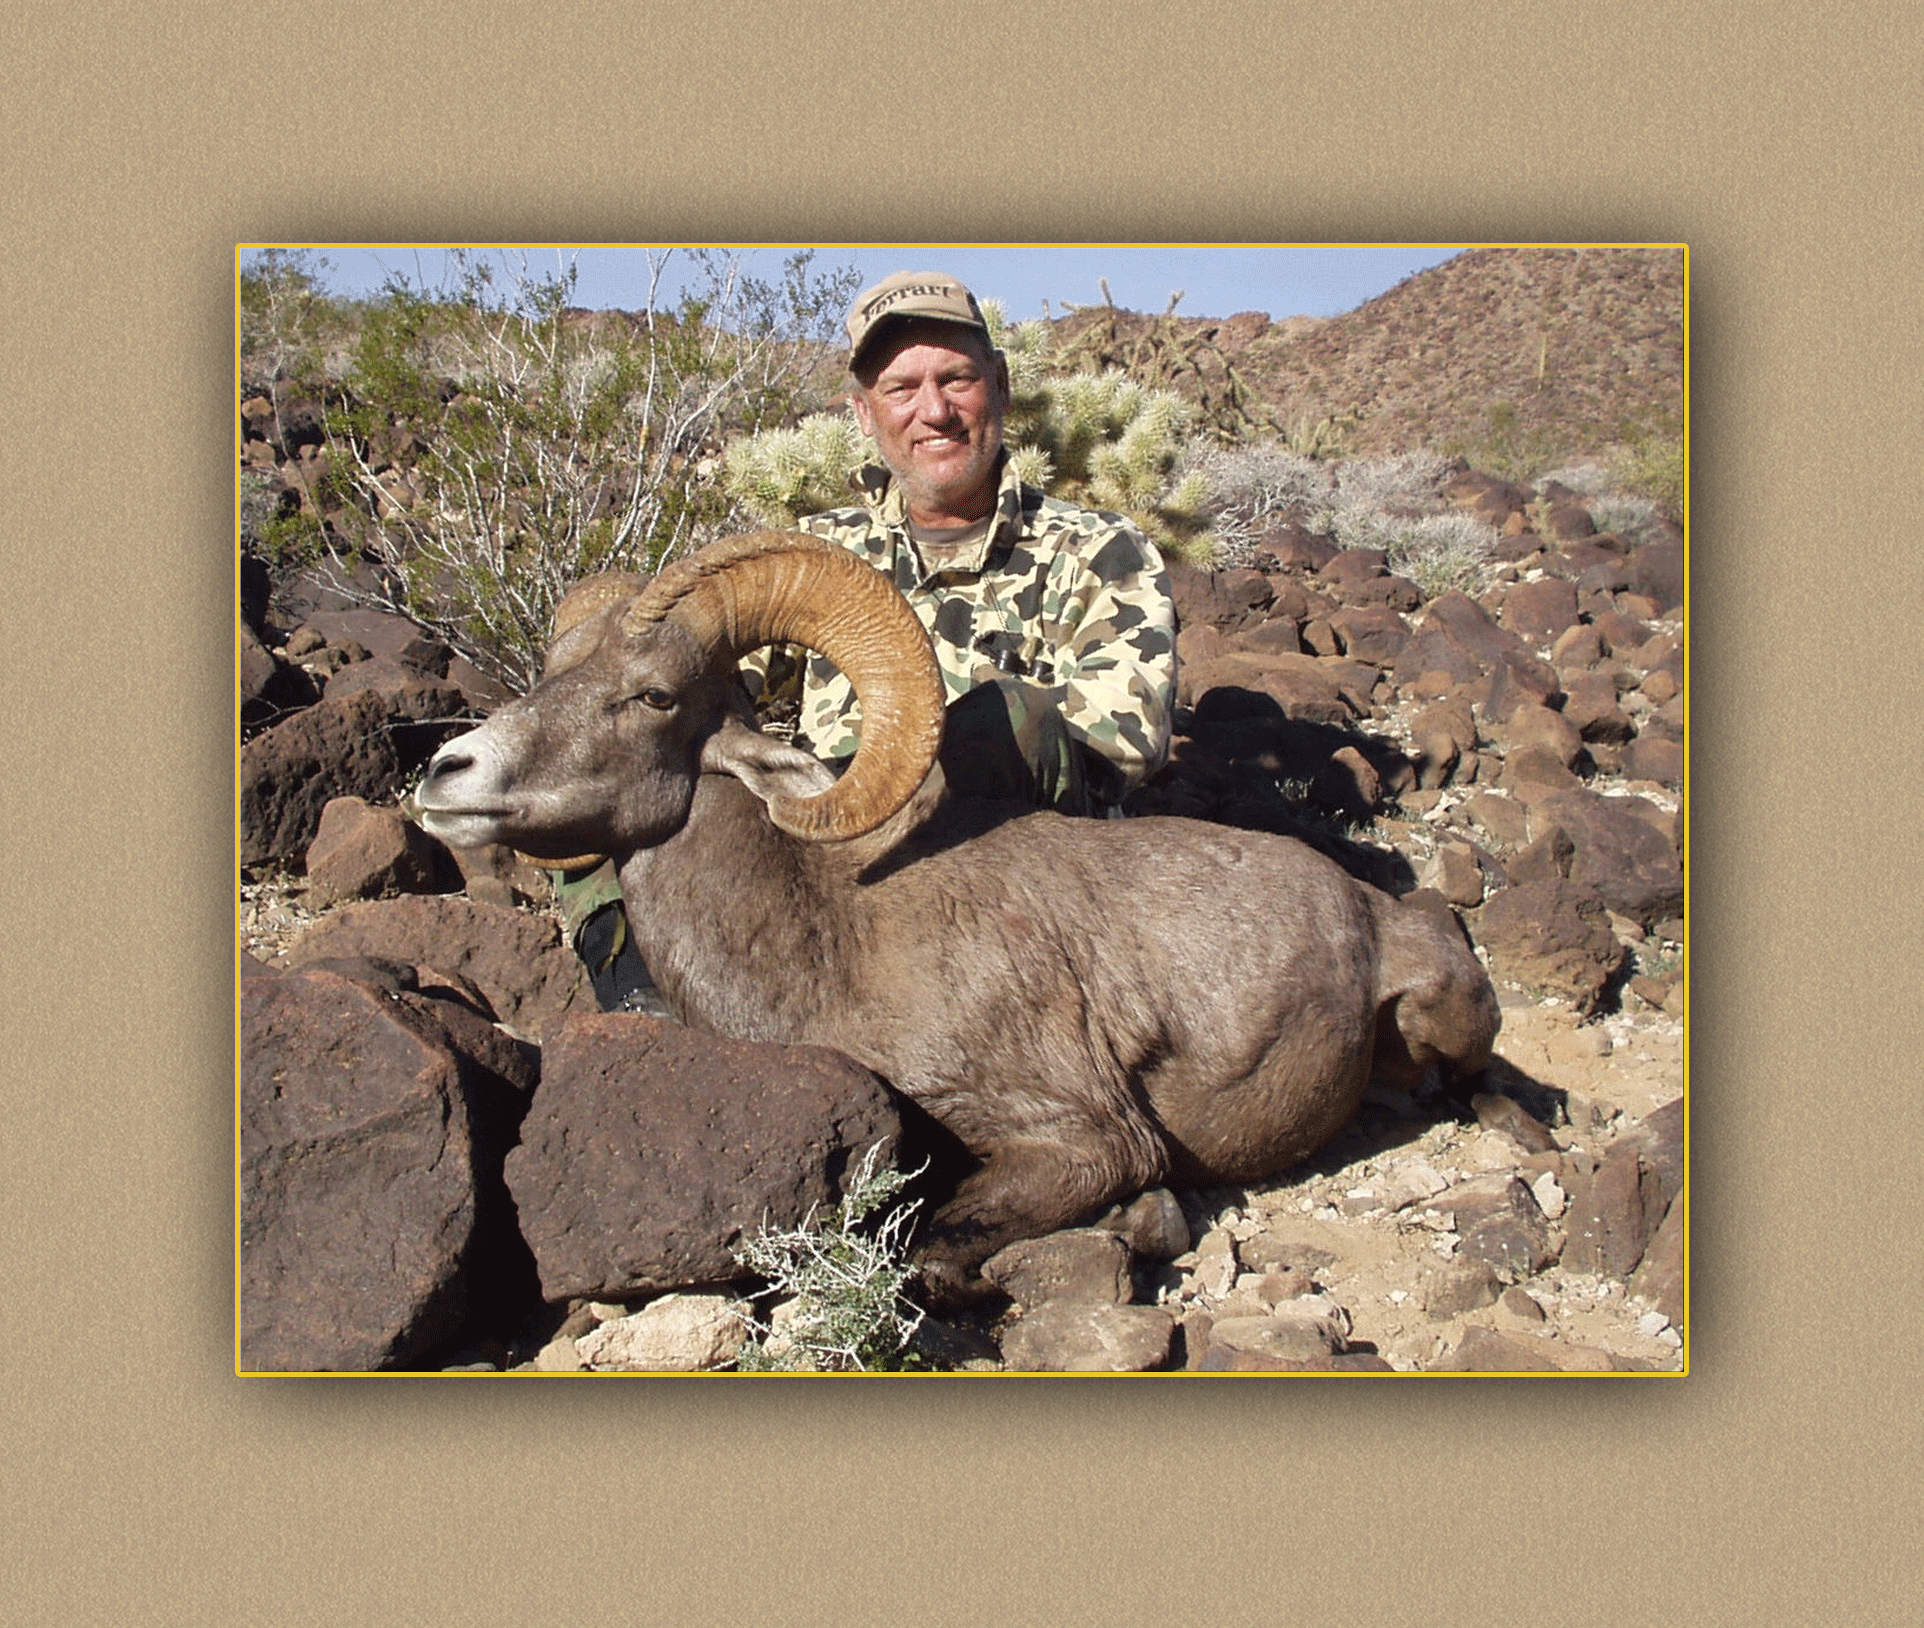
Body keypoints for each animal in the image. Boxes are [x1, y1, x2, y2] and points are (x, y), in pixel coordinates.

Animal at [413, 530, 1500, 1308]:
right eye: (550, 674)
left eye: (652, 694)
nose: (445, 774)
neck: (830, 942)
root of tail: (1374, 911)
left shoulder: (1078, 1138)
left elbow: (936, 1257)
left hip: (1445, 1015)